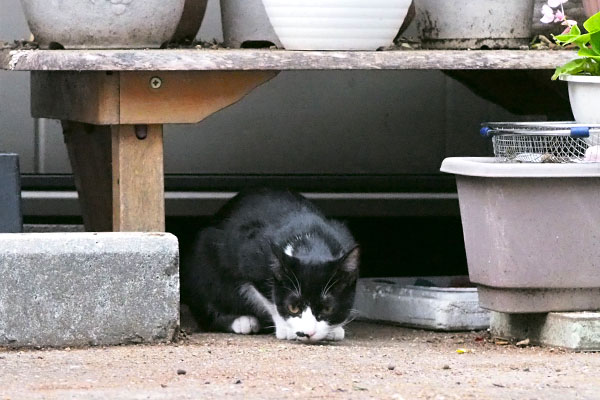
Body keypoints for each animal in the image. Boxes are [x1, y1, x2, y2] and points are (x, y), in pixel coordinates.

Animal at [180, 188, 358, 340]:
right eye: (293, 307)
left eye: (328, 308)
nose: (307, 333)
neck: (311, 240)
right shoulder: (249, 257)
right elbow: (269, 297)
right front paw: (285, 328)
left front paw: (334, 329)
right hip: (202, 260)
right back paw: (241, 321)